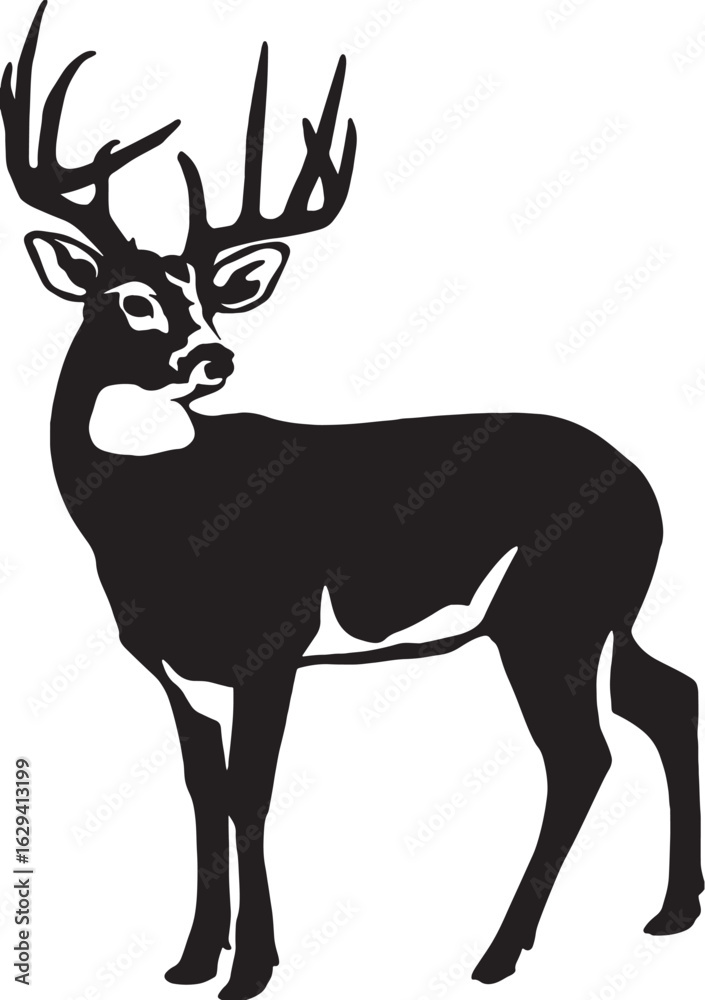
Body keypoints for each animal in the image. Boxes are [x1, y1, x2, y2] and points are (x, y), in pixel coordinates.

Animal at [1, 4, 702, 998]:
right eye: (132, 298)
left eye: (212, 298)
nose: (213, 357)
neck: (157, 518)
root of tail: (645, 484)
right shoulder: (178, 672)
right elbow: (201, 792)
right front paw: (188, 961)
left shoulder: (273, 644)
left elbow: (250, 795)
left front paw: (251, 969)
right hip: (604, 611)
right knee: (664, 695)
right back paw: (669, 913)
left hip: (546, 615)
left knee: (581, 756)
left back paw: (495, 954)